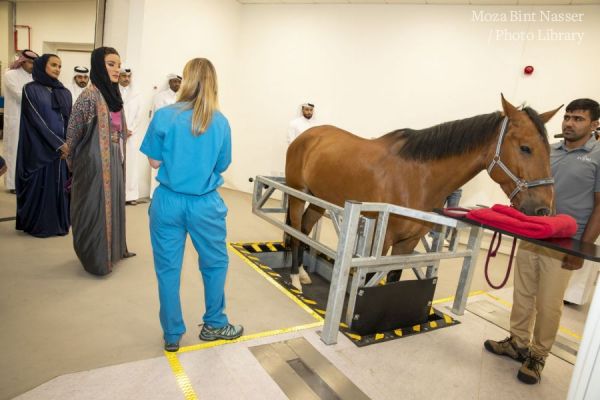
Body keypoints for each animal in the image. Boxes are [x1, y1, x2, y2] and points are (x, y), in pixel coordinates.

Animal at [284, 96, 560, 290]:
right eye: (525, 148)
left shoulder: (408, 242)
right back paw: (295, 277)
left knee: (305, 228)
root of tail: (308, 134)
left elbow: (392, 277)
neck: (417, 178)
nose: (543, 209)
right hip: (299, 194)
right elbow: (370, 278)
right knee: (295, 230)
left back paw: (304, 273)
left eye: (549, 150)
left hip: (320, 200)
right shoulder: (381, 241)